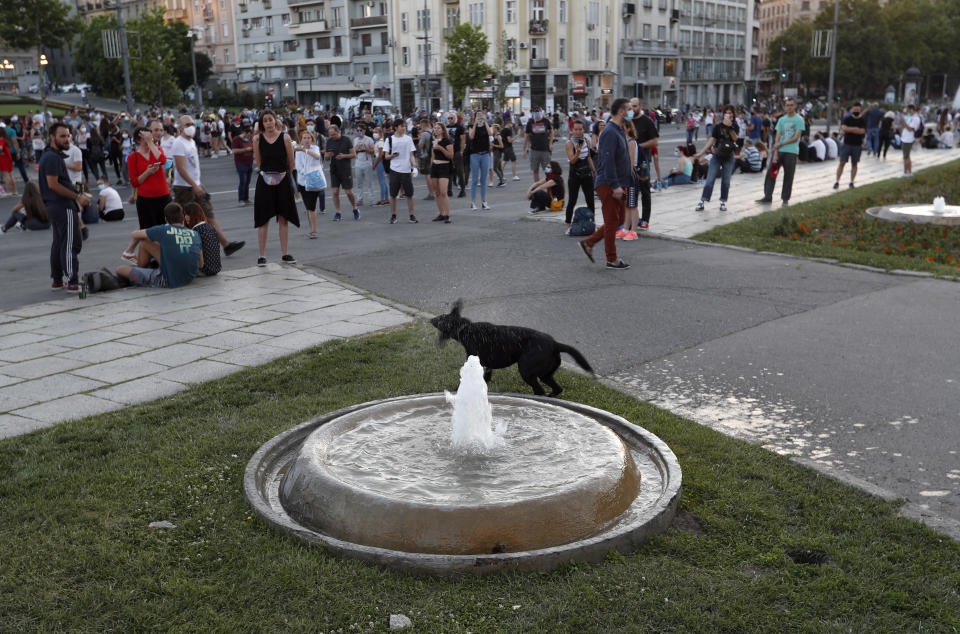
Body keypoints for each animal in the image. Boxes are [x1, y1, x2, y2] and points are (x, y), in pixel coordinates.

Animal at [430, 298, 592, 392]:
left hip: (527, 371)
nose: (431, 319)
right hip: (545, 374)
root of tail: (555, 344)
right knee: (557, 389)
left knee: (540, 391)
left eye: (441, 318)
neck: (466, 329)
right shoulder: (487, 368)